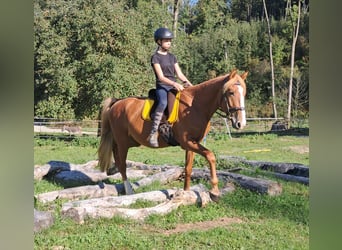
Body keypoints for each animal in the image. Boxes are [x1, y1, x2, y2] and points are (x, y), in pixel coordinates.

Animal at [97, 69, 247, 201]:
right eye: (231, 92)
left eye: (244, 93)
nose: (241, 123)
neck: (194, 106)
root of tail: (117, 103)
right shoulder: (187, 142)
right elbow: (211, 156)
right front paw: (215, 192)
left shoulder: (192, 143)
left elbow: (188, 168)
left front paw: (186, 193)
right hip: (122, 142)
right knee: (122, 165)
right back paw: (129, 191)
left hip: (129, 141)